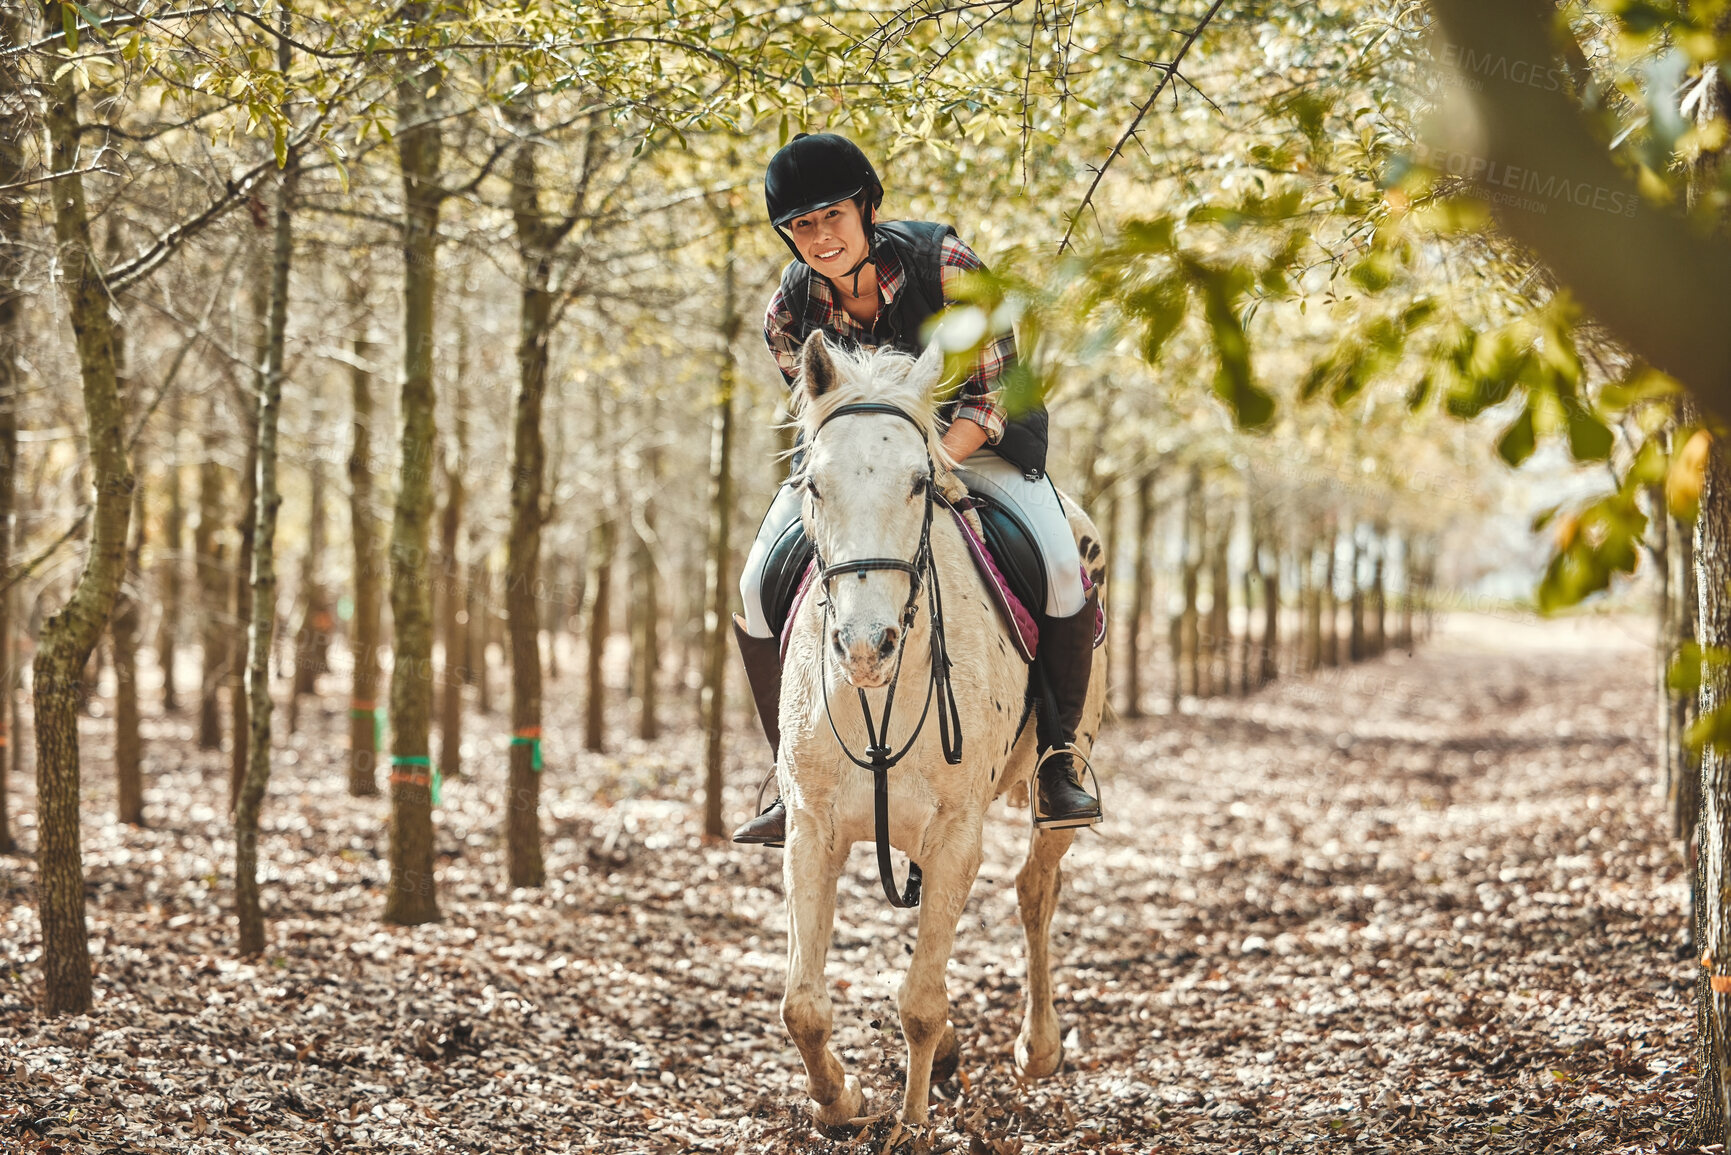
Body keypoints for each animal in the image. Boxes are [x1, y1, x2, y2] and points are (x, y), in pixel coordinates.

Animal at [775, 332, 1100, 1129]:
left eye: (922, 482)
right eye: (814, 485)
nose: (866, 647)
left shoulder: (957, 834)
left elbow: (920, 1002)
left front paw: (913, 1123)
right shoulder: (810, 827)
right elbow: (803, 1006)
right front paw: (842, 1099)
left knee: (1035, 888)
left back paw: (1037, 1048)